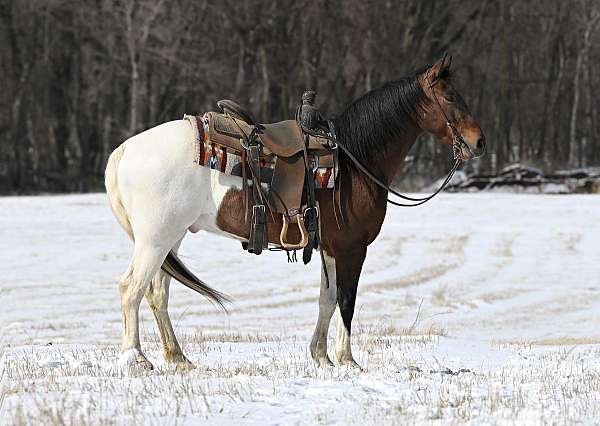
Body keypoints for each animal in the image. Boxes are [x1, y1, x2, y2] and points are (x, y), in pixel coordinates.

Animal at [105, 55, 486, 370]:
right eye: (451, 98)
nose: (479, 142)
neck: (354, 160)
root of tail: (124, 150)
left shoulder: (331, 248)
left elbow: (326, 300)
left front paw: (321, 357)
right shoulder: (352, 248)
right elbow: (346, 300)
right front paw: (347, 360)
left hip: (172, 238)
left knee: (157, 293)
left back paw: (177, 357)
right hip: (156, 239)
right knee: (131, 288)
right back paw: (135, 359)